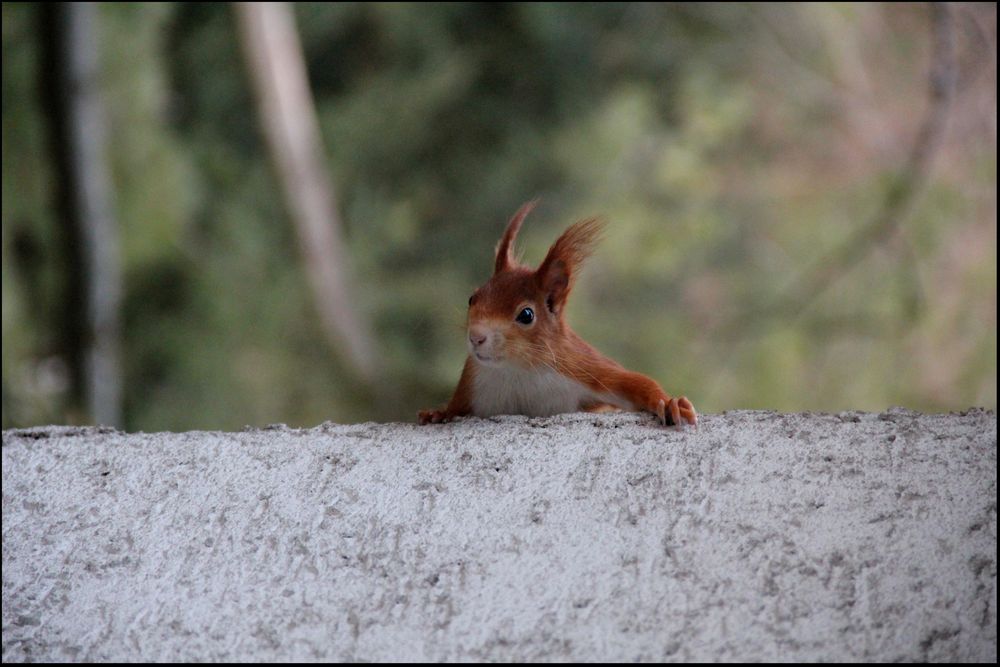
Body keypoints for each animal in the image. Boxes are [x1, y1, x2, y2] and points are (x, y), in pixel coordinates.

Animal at [418, 200, 700, 428]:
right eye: (472, 298)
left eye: (527, 315)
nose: (476, 336)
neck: (518, 369)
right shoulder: (472, 381)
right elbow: (456, 405)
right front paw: (439, 413)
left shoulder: (579, 365)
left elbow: (633, 381)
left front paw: (669, 402)